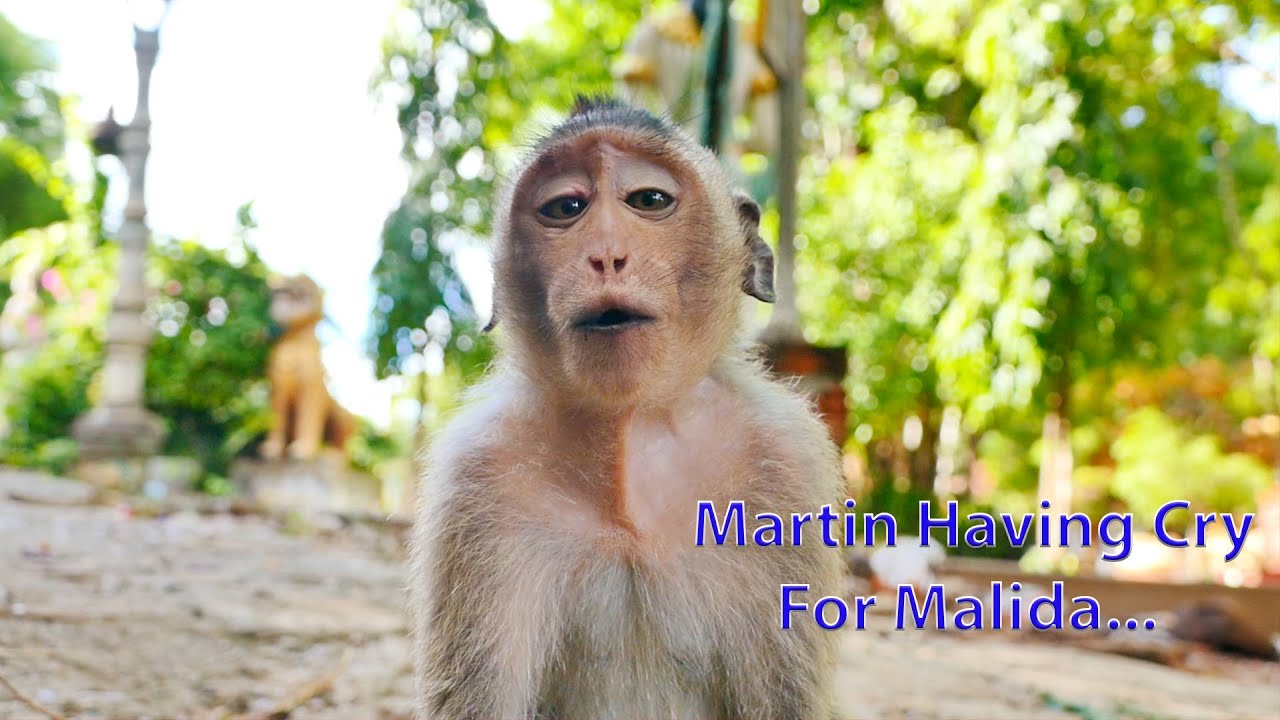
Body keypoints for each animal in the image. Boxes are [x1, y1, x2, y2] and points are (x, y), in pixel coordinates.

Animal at [410, 97, 844, 720]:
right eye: (566, 208)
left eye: (649, 200)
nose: (606, 255)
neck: (629, 439)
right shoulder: (473, 483)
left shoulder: (786, 467)